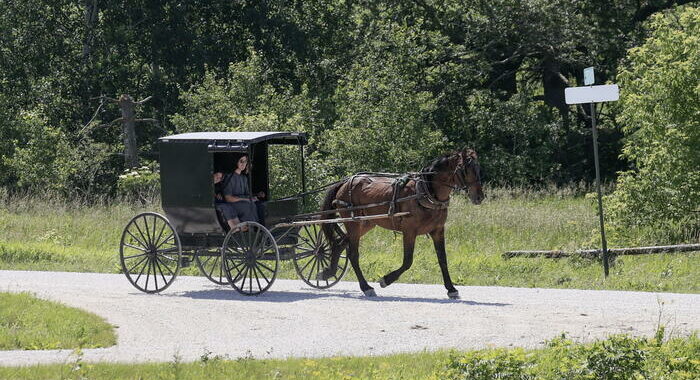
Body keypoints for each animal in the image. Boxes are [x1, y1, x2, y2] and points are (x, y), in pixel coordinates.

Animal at [320, 148, 484, 300]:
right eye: (464, 168)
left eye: (478, 168)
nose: (480, 197)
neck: (426, 192)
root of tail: (345, 182)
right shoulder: (409, 231)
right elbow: (407, 261)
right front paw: (386, 279)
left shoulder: (438, 231)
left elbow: (442, 259)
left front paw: (451, 289)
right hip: (353, 223)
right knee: (353, 254)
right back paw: (366, 287)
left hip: (365, 223)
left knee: (340, 244)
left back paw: (329, 272)